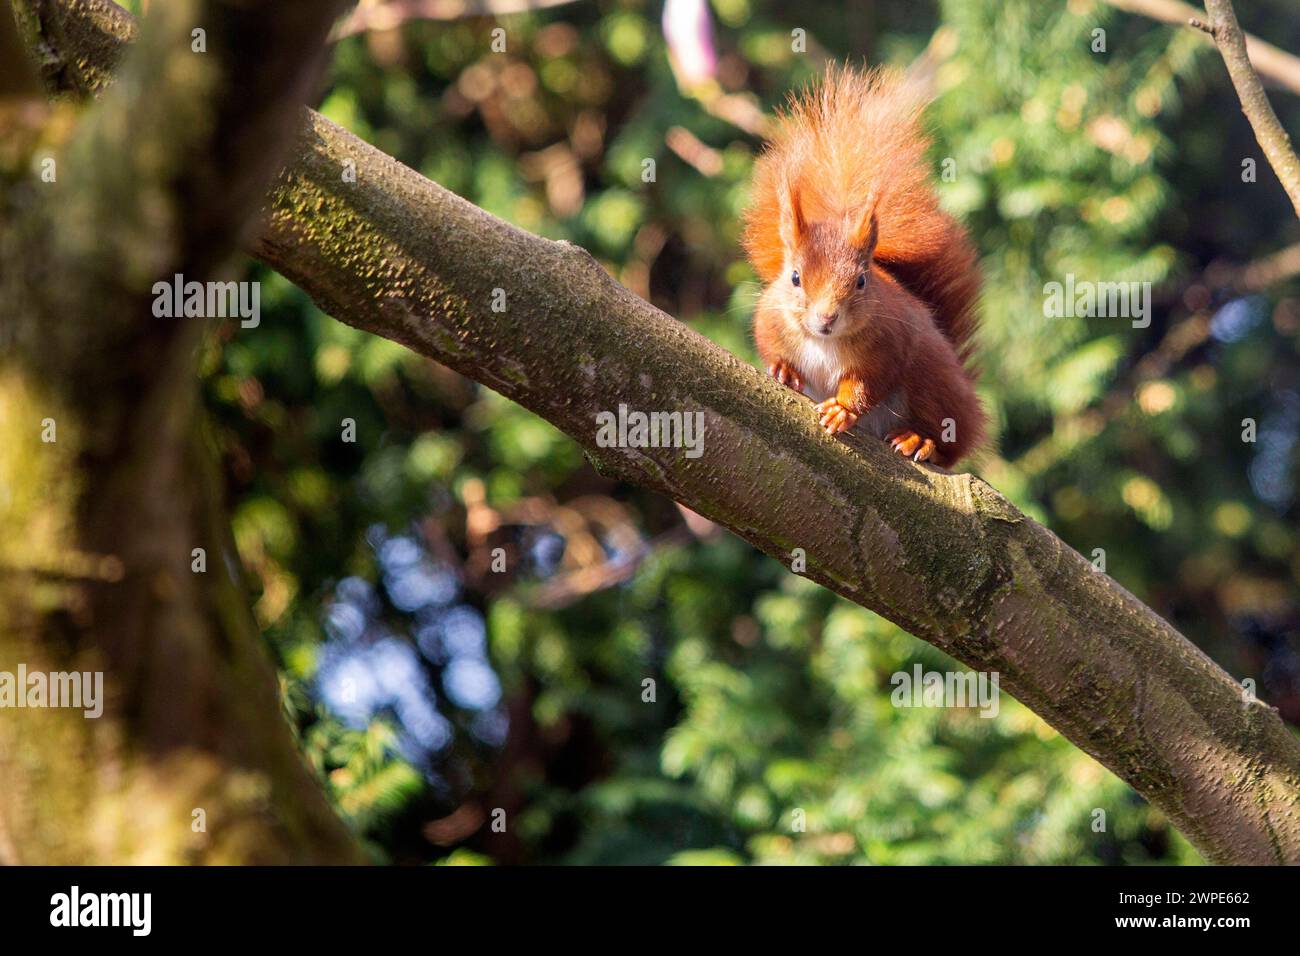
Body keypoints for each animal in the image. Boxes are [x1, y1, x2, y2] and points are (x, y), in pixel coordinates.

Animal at [743, 64, 982, 468]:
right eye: (795, 277)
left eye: (861, 282)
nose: (827, 317)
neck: (823, 342)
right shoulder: (770, 319)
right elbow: (770, 346)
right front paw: (783, 369)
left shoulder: (888, 345)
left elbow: (866, 384)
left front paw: (843, 409)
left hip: (933, 382)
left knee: (949, 445)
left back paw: (920, 440)